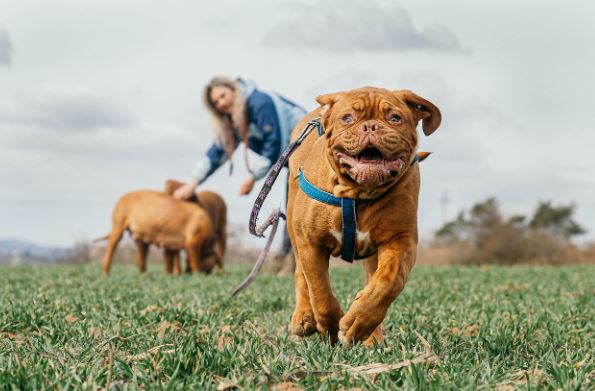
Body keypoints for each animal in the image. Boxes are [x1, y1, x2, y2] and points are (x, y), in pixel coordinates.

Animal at [286, 86, 444, 346]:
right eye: (347, 118)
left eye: (395, 118)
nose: (370, 126)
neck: (356, 193)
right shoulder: (311, 243)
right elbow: (320, 292)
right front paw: (330, 328)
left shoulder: (401, 239)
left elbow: (388, 281)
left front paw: (358, 322)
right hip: (293, 227)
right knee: (301, 275)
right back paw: (304, 317)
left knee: (372, 279)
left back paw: (372, 337)